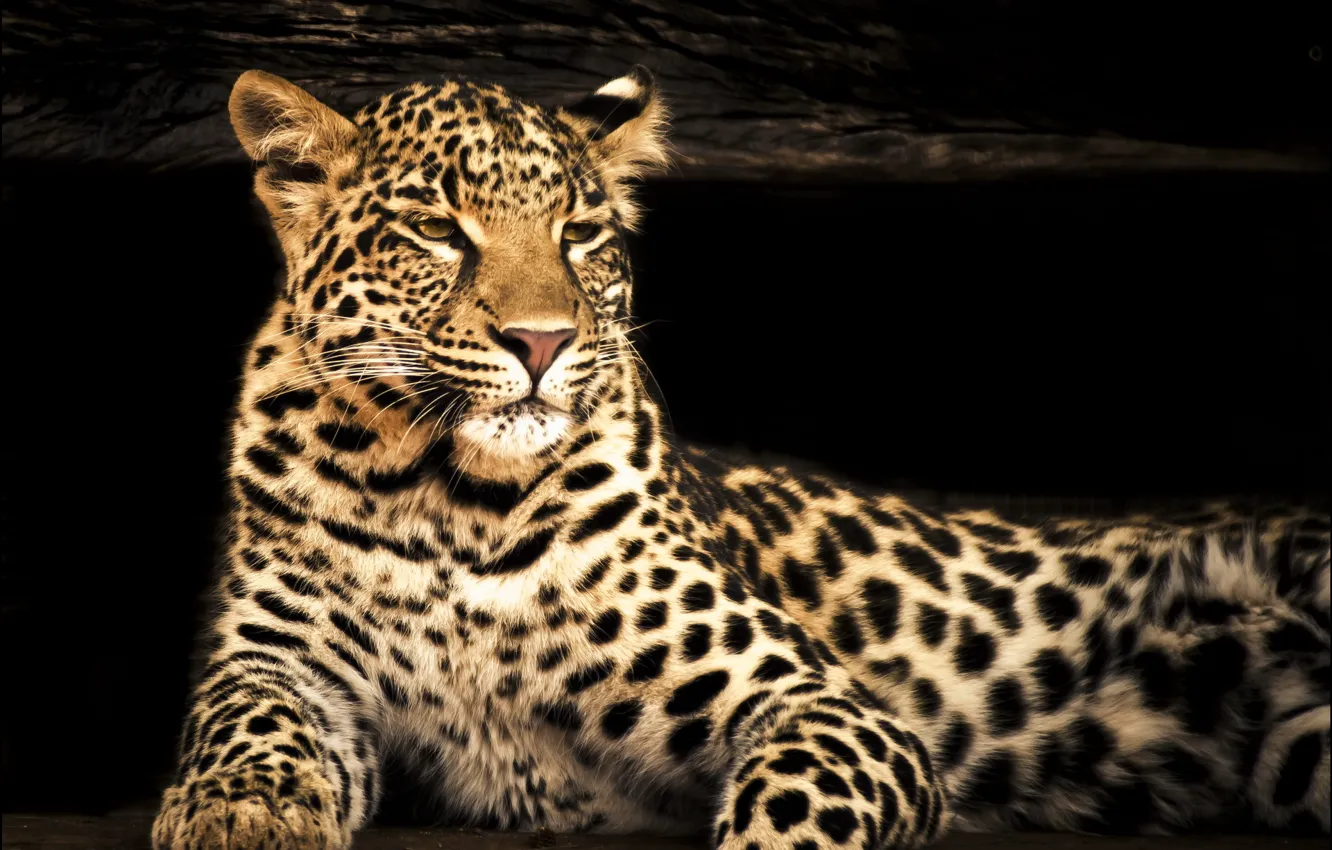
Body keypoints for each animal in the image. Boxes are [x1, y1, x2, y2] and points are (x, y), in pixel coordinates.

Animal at [151, 65, 1331, 850]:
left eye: (580, 234)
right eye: (437, 231)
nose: (542, 342)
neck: (448, 499)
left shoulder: (827, 706)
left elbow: (796, 800)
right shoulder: (283, 664)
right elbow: (242, 723)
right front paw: (237, 815)